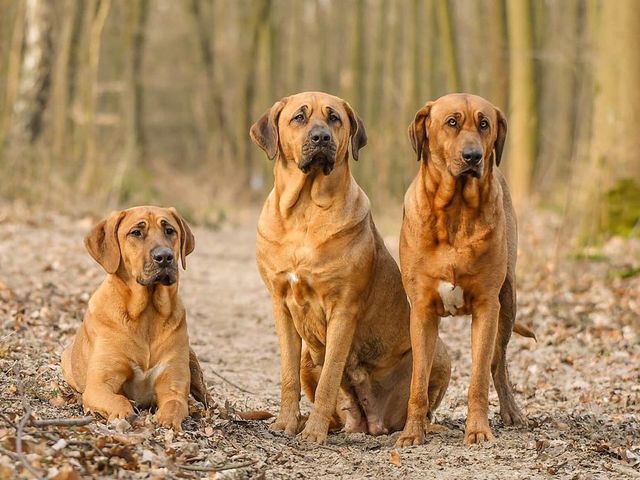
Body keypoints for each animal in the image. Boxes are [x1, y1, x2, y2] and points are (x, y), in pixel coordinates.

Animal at [60, 204, 210, 430]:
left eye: (170, 231)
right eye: (136, 233)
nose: (165, 256)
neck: (146, 313)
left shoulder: (172, 385)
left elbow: (175, 404)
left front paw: (167, 421)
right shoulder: (99, 385)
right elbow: (118, 399)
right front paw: (124, 414)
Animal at [250, 90, 450, 442]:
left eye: (334, 118)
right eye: (299, 117)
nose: (321, 138)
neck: (304, 209)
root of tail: (372, 422)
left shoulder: (342, 309)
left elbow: (330, 379)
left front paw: (313, 433)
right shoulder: (281, 305)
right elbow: (288, 376)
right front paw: (286, 423)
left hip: (440, 353)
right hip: (309, 359)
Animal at [396, 93, 536, 446]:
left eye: (484, 124)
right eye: (452, 122)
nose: (473, 156)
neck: (456, 211)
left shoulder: (487, 305)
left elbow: (479, 377)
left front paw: (477, 430)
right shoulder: (421, 310)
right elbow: (418, 381)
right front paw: (411, 432)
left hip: (508, 301)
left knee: (498, 363)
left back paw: (512, 411)